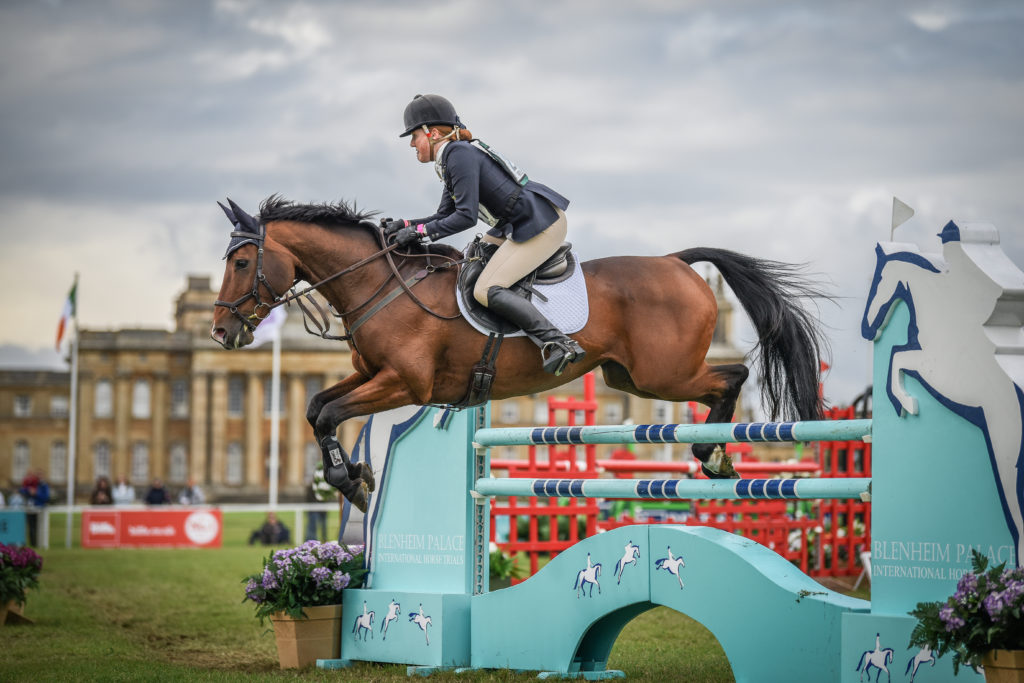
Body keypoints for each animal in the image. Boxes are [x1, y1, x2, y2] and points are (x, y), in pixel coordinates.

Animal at [211, 194, 827, 509]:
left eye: (241, 262)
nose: (221, 334)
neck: (380, 284)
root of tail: (675, 262)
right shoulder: (370, 376)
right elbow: (316, 408)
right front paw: (352, 476)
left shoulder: (404, 383)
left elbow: (330, 414)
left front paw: (351, 482)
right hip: (628, 378)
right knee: (723, 378)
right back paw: (715, 454)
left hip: (664, 376)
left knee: (731, 375)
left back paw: (713, 453)